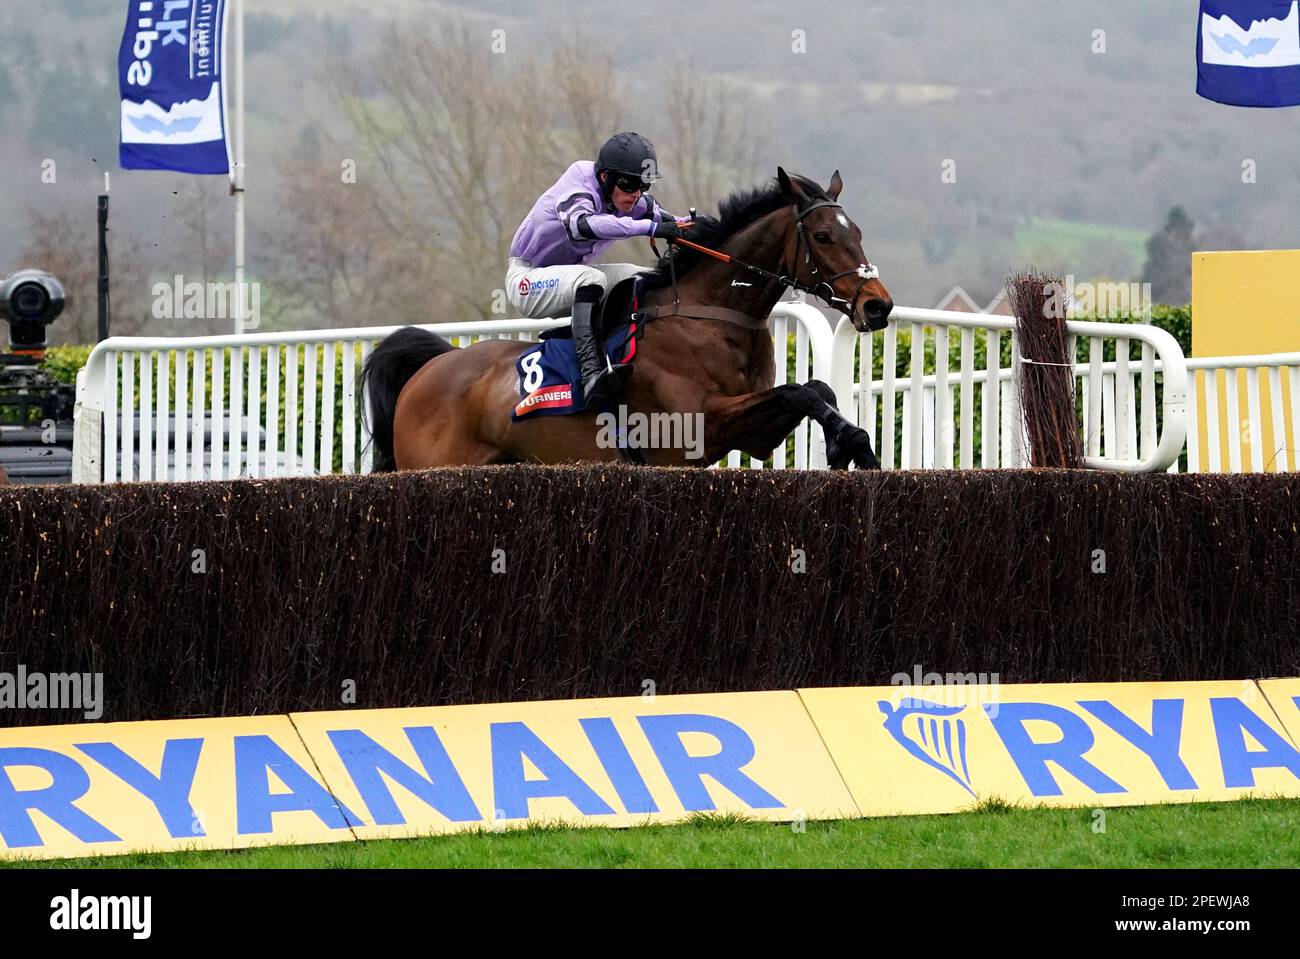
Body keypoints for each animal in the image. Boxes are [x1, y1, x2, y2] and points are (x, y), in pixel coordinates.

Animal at [366, 170, 894, 473]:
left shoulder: (754, 435)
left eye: (858, 232)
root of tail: (430, 368)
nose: (878, 306)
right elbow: (799, 392)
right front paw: (852, 444)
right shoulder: (697, 427)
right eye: (823, 236)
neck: (709, 315)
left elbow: (812, 391)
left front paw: (855, 444)